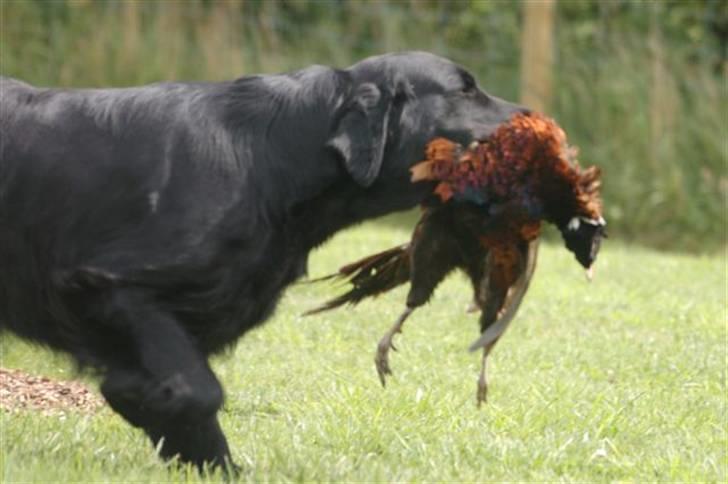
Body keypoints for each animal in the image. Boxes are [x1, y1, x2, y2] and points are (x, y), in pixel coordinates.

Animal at [0, 52, 524, 468]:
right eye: (464, 90)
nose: (532, 116)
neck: (267, 157)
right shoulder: (107, 285)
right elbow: (196, 390)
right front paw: (143, 402)